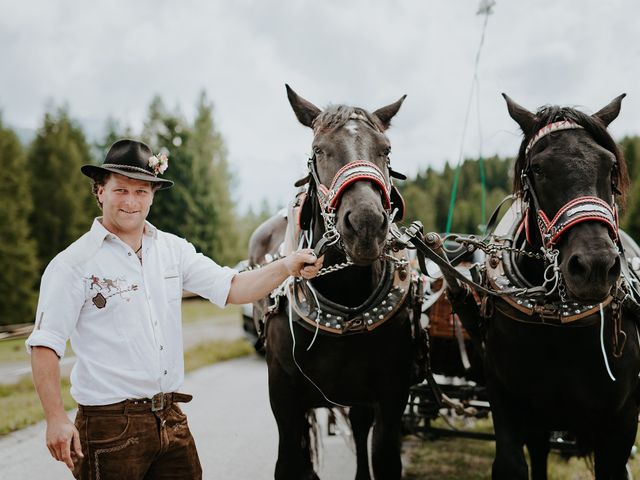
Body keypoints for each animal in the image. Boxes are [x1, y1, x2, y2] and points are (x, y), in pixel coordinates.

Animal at [248, 87, 418, 480]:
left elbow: (384, 457)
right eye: (319, 150)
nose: (367, 224)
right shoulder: (284, 394)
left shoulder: (391, 392)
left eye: (386, 149)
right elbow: (288, 461)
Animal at [448, 94, 640, 480]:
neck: (558, 324)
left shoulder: (623, 419)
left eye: (611, 165)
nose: (596, 266)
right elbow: (512, 463)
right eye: (537, 168)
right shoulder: (507, 401)